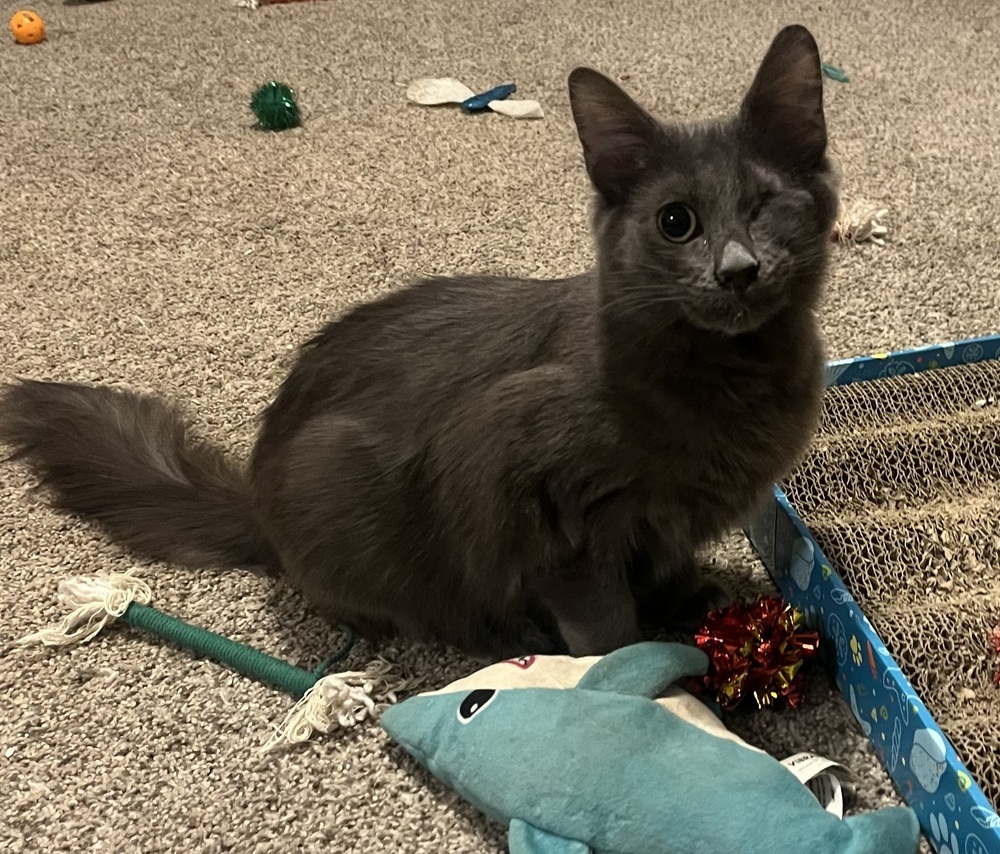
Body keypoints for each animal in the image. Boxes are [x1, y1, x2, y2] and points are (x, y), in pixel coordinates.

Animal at [0, 25, 840, 656]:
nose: (737, 269)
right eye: (677, 222)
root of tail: (257, 498)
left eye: (763, 204)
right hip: (343, 489)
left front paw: (691, 598)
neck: (729, 379)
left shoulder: (667, 520)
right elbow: (601, 620)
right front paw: (641, 682)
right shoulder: (551, 510)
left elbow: (665, 563)